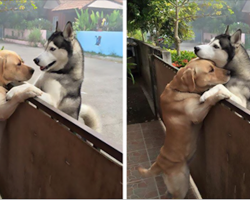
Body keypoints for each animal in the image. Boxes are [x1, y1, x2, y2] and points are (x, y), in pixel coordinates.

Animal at [138, 57, 231, 198]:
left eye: (215, 65)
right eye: (211, 70)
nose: (230, 72)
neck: (179, 89)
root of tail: (159, 163)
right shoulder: (196, 115)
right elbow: (209, 100)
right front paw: (219, 95)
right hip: (181, 185)